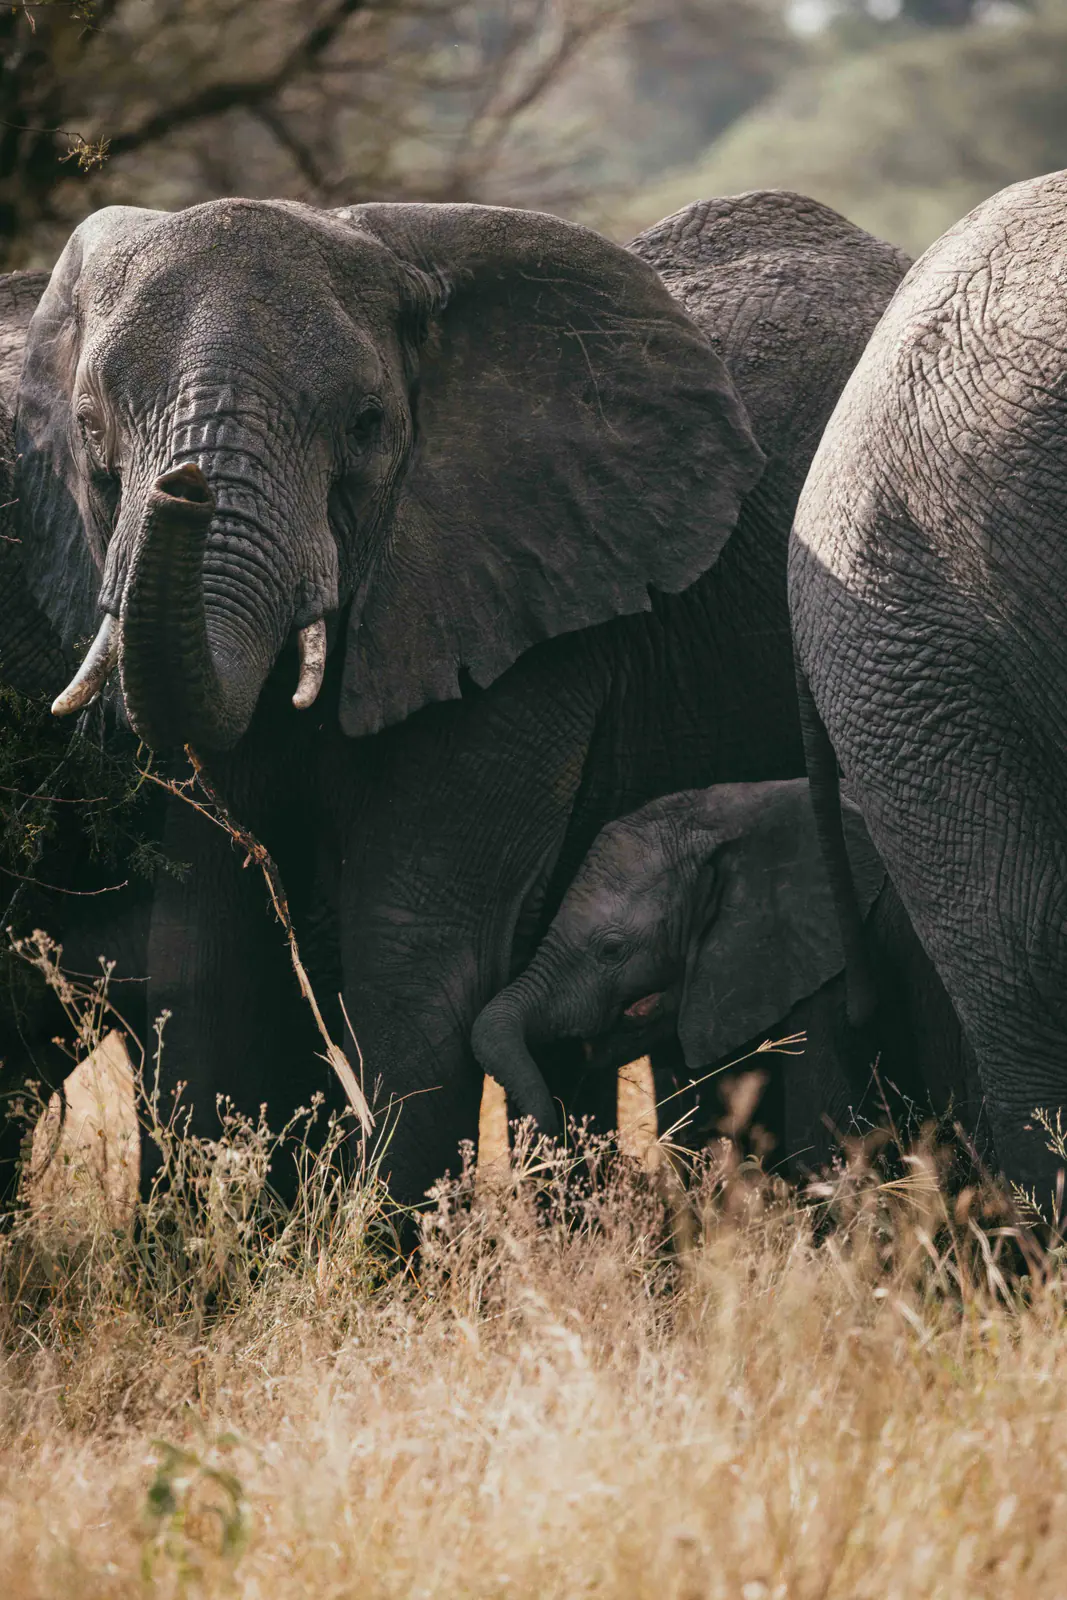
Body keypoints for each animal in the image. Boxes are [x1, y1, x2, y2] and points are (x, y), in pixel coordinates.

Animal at [10, 190, 909, 1206]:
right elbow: (208, 944)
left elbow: (412, 959)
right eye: (90, 430)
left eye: (365, 425)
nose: (184, 486)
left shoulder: (531, 612)